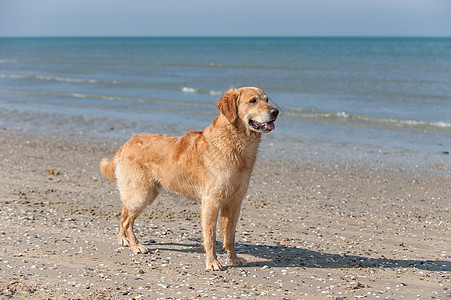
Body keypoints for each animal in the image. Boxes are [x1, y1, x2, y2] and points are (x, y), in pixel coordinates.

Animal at [100, 86, 278, 270]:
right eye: (253, 101)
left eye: (267, 99)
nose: (276, 111)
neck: (235, 142)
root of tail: (125, 144)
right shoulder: (211, 201)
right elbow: (210, 236)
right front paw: (212, 262)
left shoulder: (234, 201)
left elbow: (230, 236)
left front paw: (234, 259)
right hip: (141, 193)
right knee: (127, 220)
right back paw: (135, 245)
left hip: (141, 192)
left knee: (124, 212)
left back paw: (123, 240)